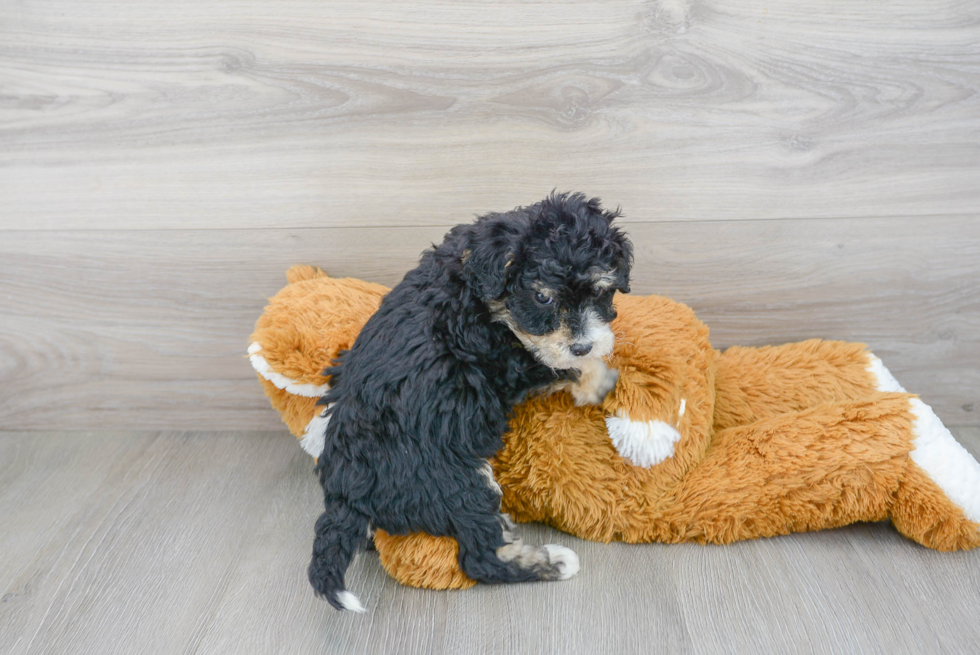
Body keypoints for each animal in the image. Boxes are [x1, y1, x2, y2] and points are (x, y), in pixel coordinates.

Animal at [308, 192, 636, 612]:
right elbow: (554, 364)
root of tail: (346, 494)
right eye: (542, 297)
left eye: (599, 290)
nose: (581, 345)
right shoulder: (506, 358)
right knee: (480, 556)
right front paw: (599, 378)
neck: (477, 287)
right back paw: (551, 562)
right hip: (454, 480)